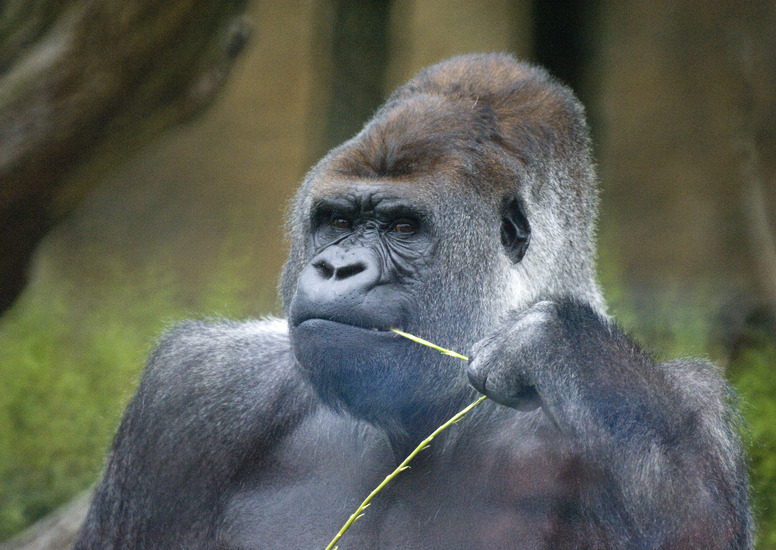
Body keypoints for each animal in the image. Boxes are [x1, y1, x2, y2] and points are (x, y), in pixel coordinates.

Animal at [74, 53, 752, 549]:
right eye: (337, 221)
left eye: (402, 227)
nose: (337, 266)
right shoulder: (190, 388)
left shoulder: (690, 399)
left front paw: (568, 346)